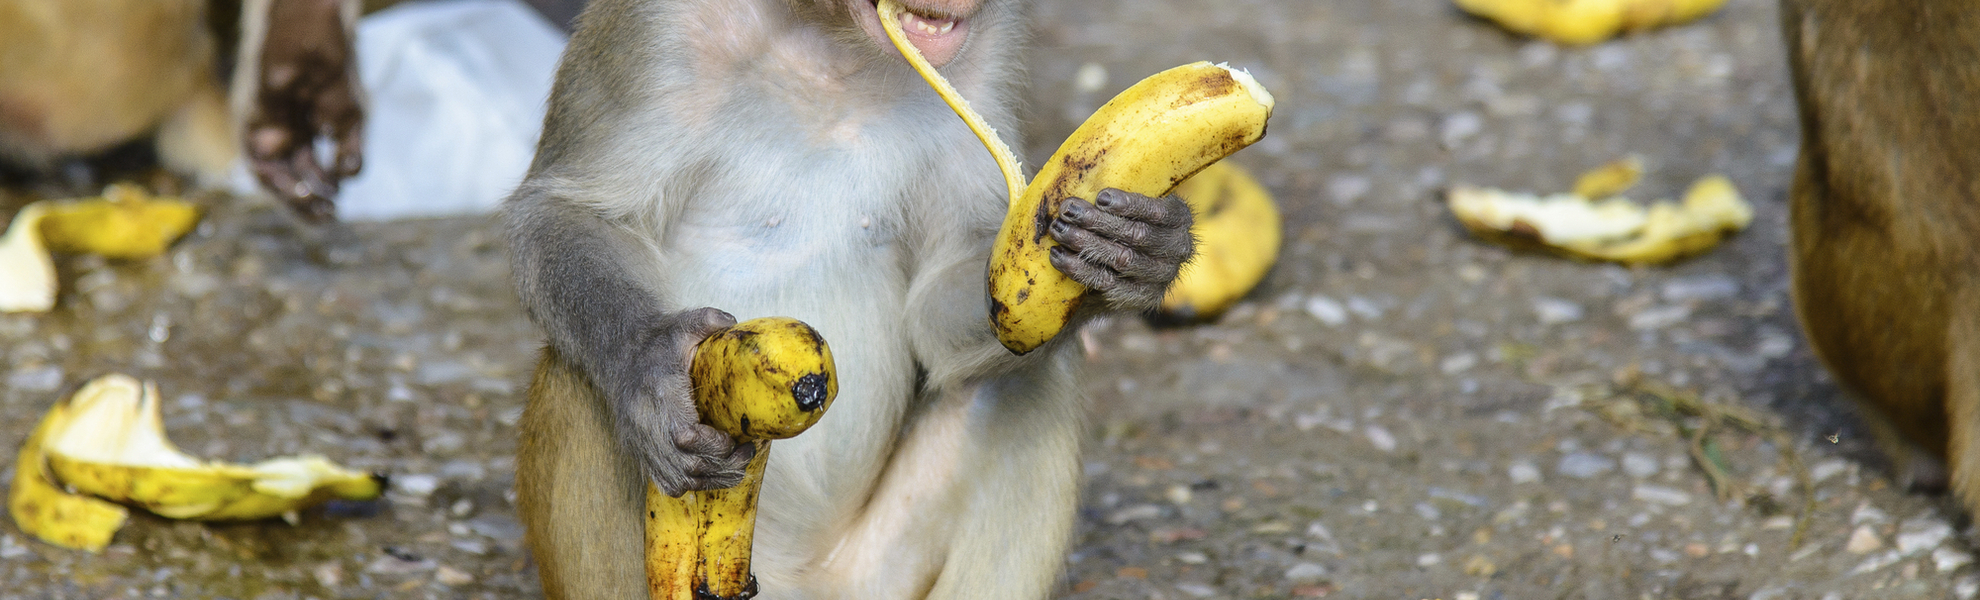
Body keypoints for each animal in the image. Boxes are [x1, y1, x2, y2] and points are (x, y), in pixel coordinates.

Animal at [505, 0, 1196, 597]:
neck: (830, 46)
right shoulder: (654, 30)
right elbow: (563, 213)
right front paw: (649, 365)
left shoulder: (989, 47)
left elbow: (950, 299)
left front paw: (1128, 257)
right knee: (578, 384)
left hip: (872, 576)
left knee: (1031, 373)